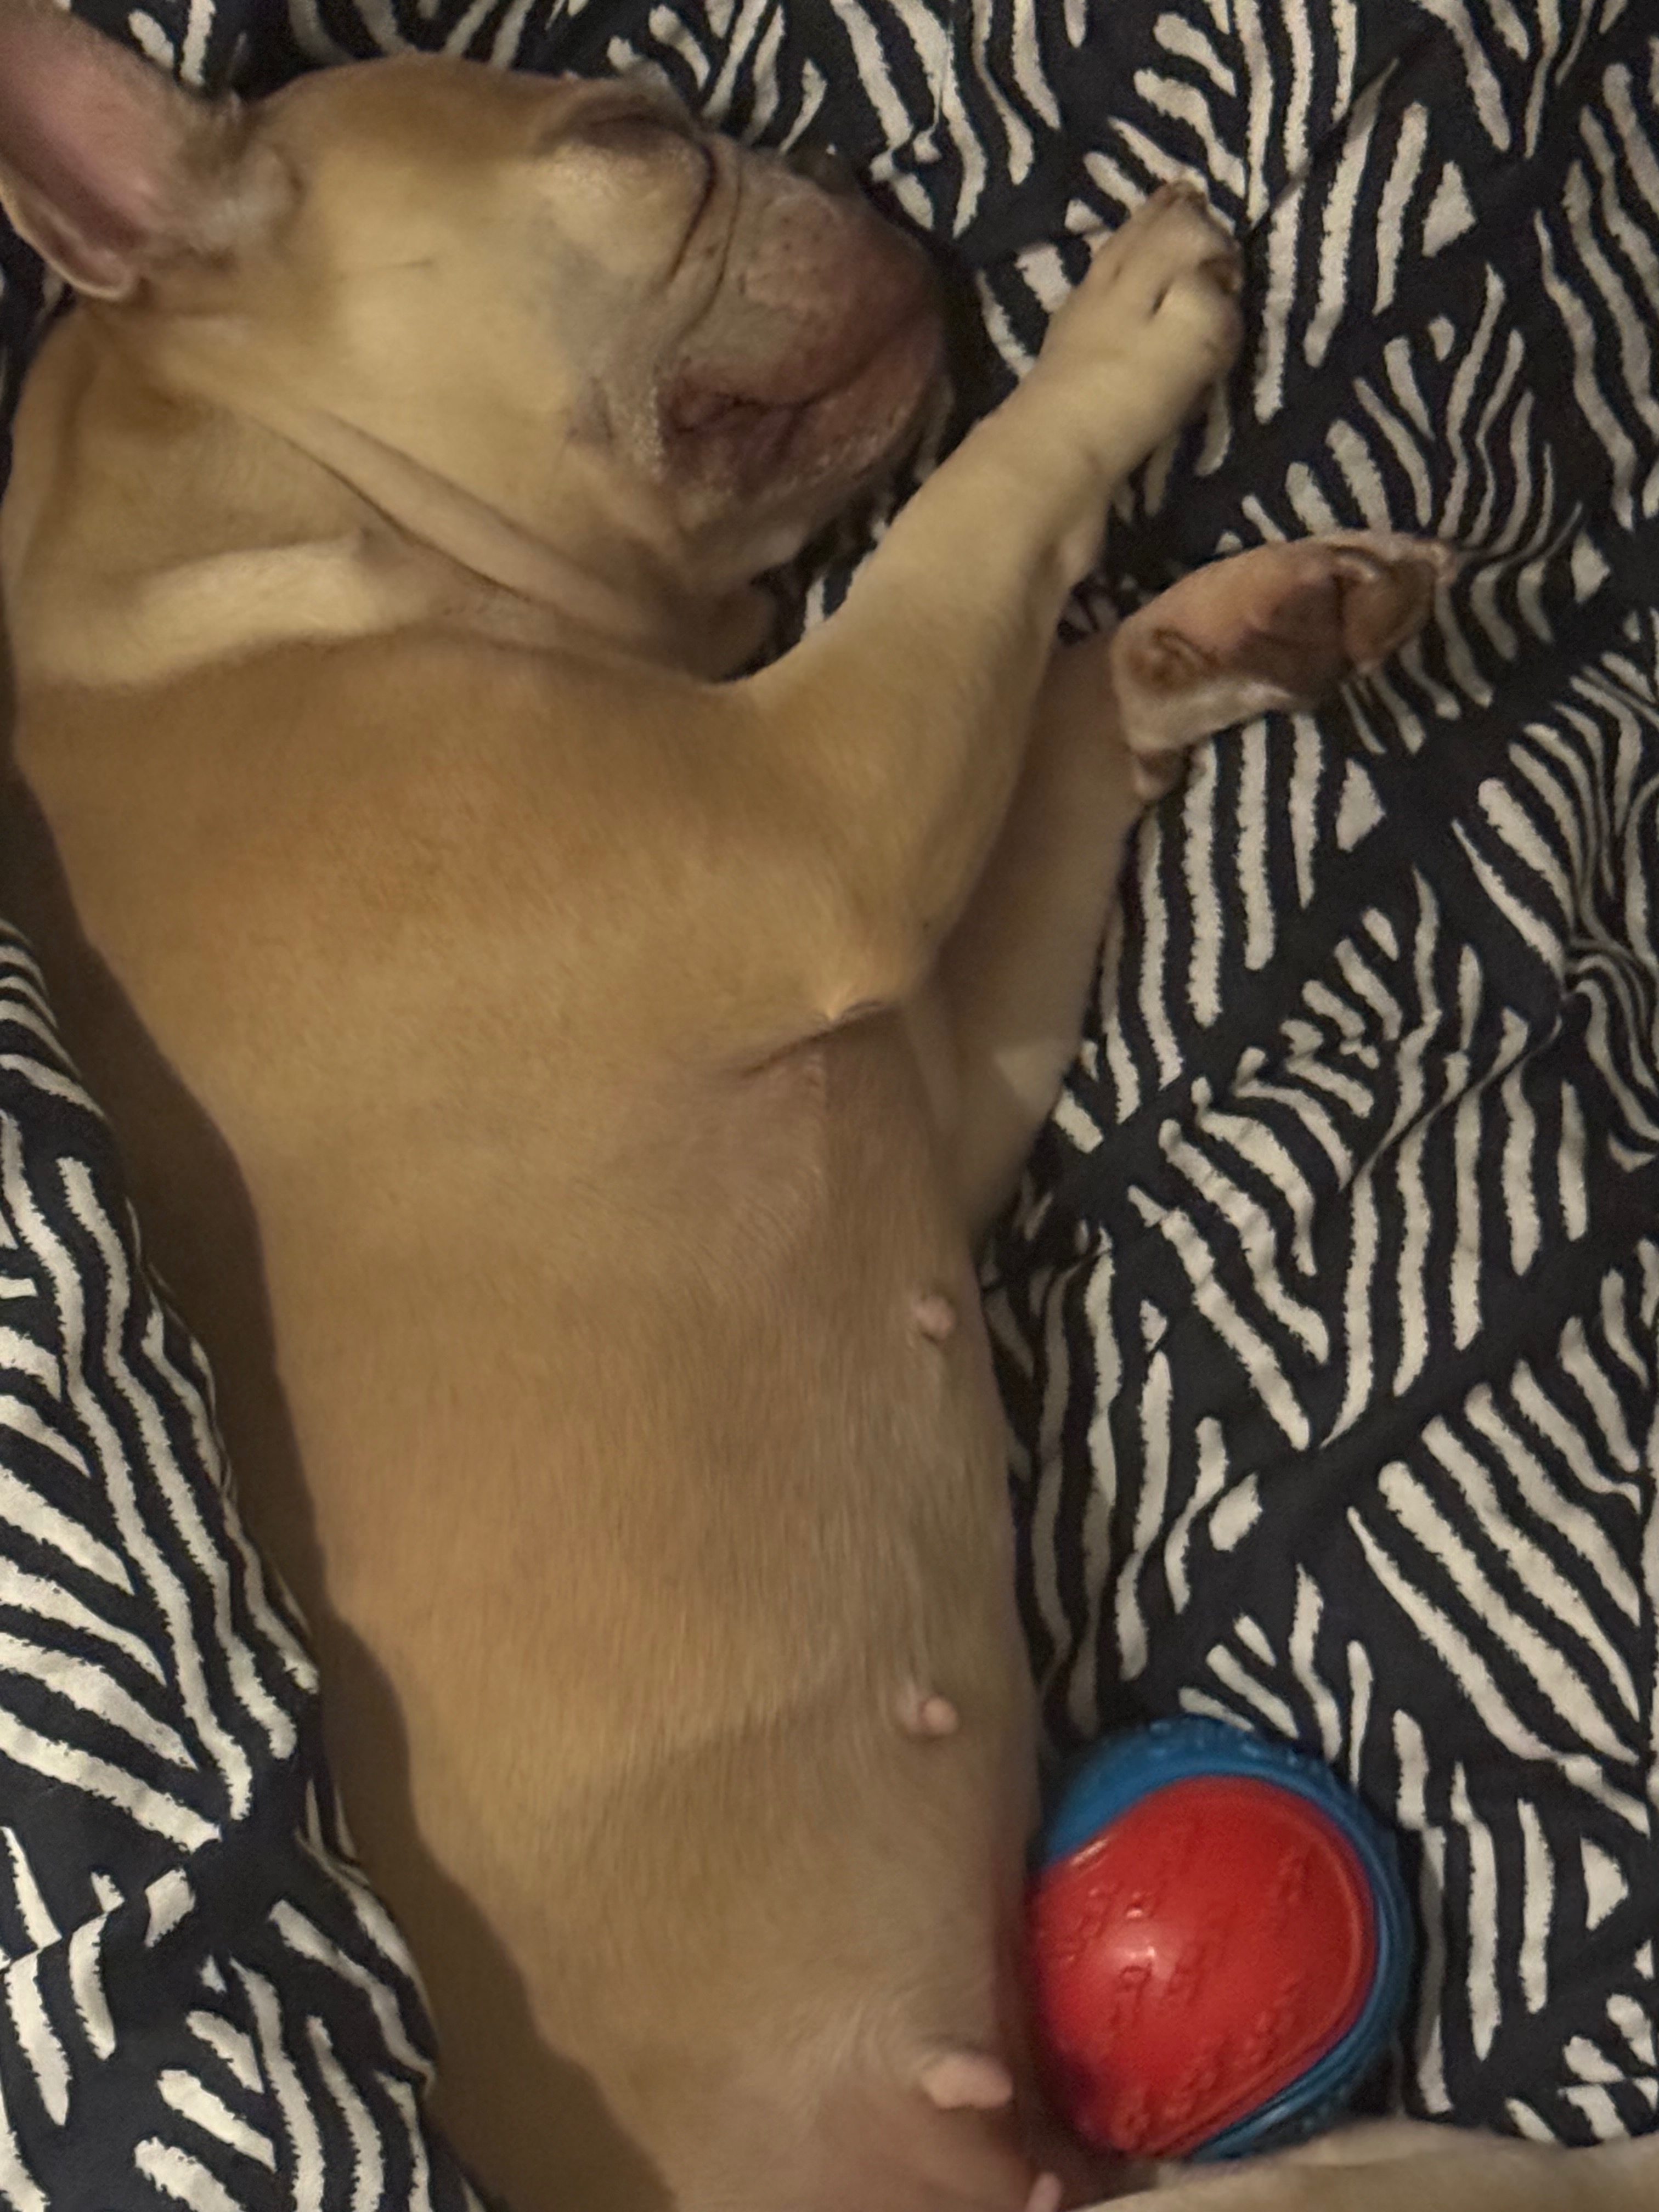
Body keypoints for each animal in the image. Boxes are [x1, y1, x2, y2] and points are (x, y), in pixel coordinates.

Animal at [0, 9, 1652, 2211]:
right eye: (629, 132)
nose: (851, 180)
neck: (271, 528)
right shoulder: (821, 806)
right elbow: (973, 526)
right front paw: (1111, 340)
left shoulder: (937, 1054)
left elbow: (1062, 702)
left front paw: (1225, 626)